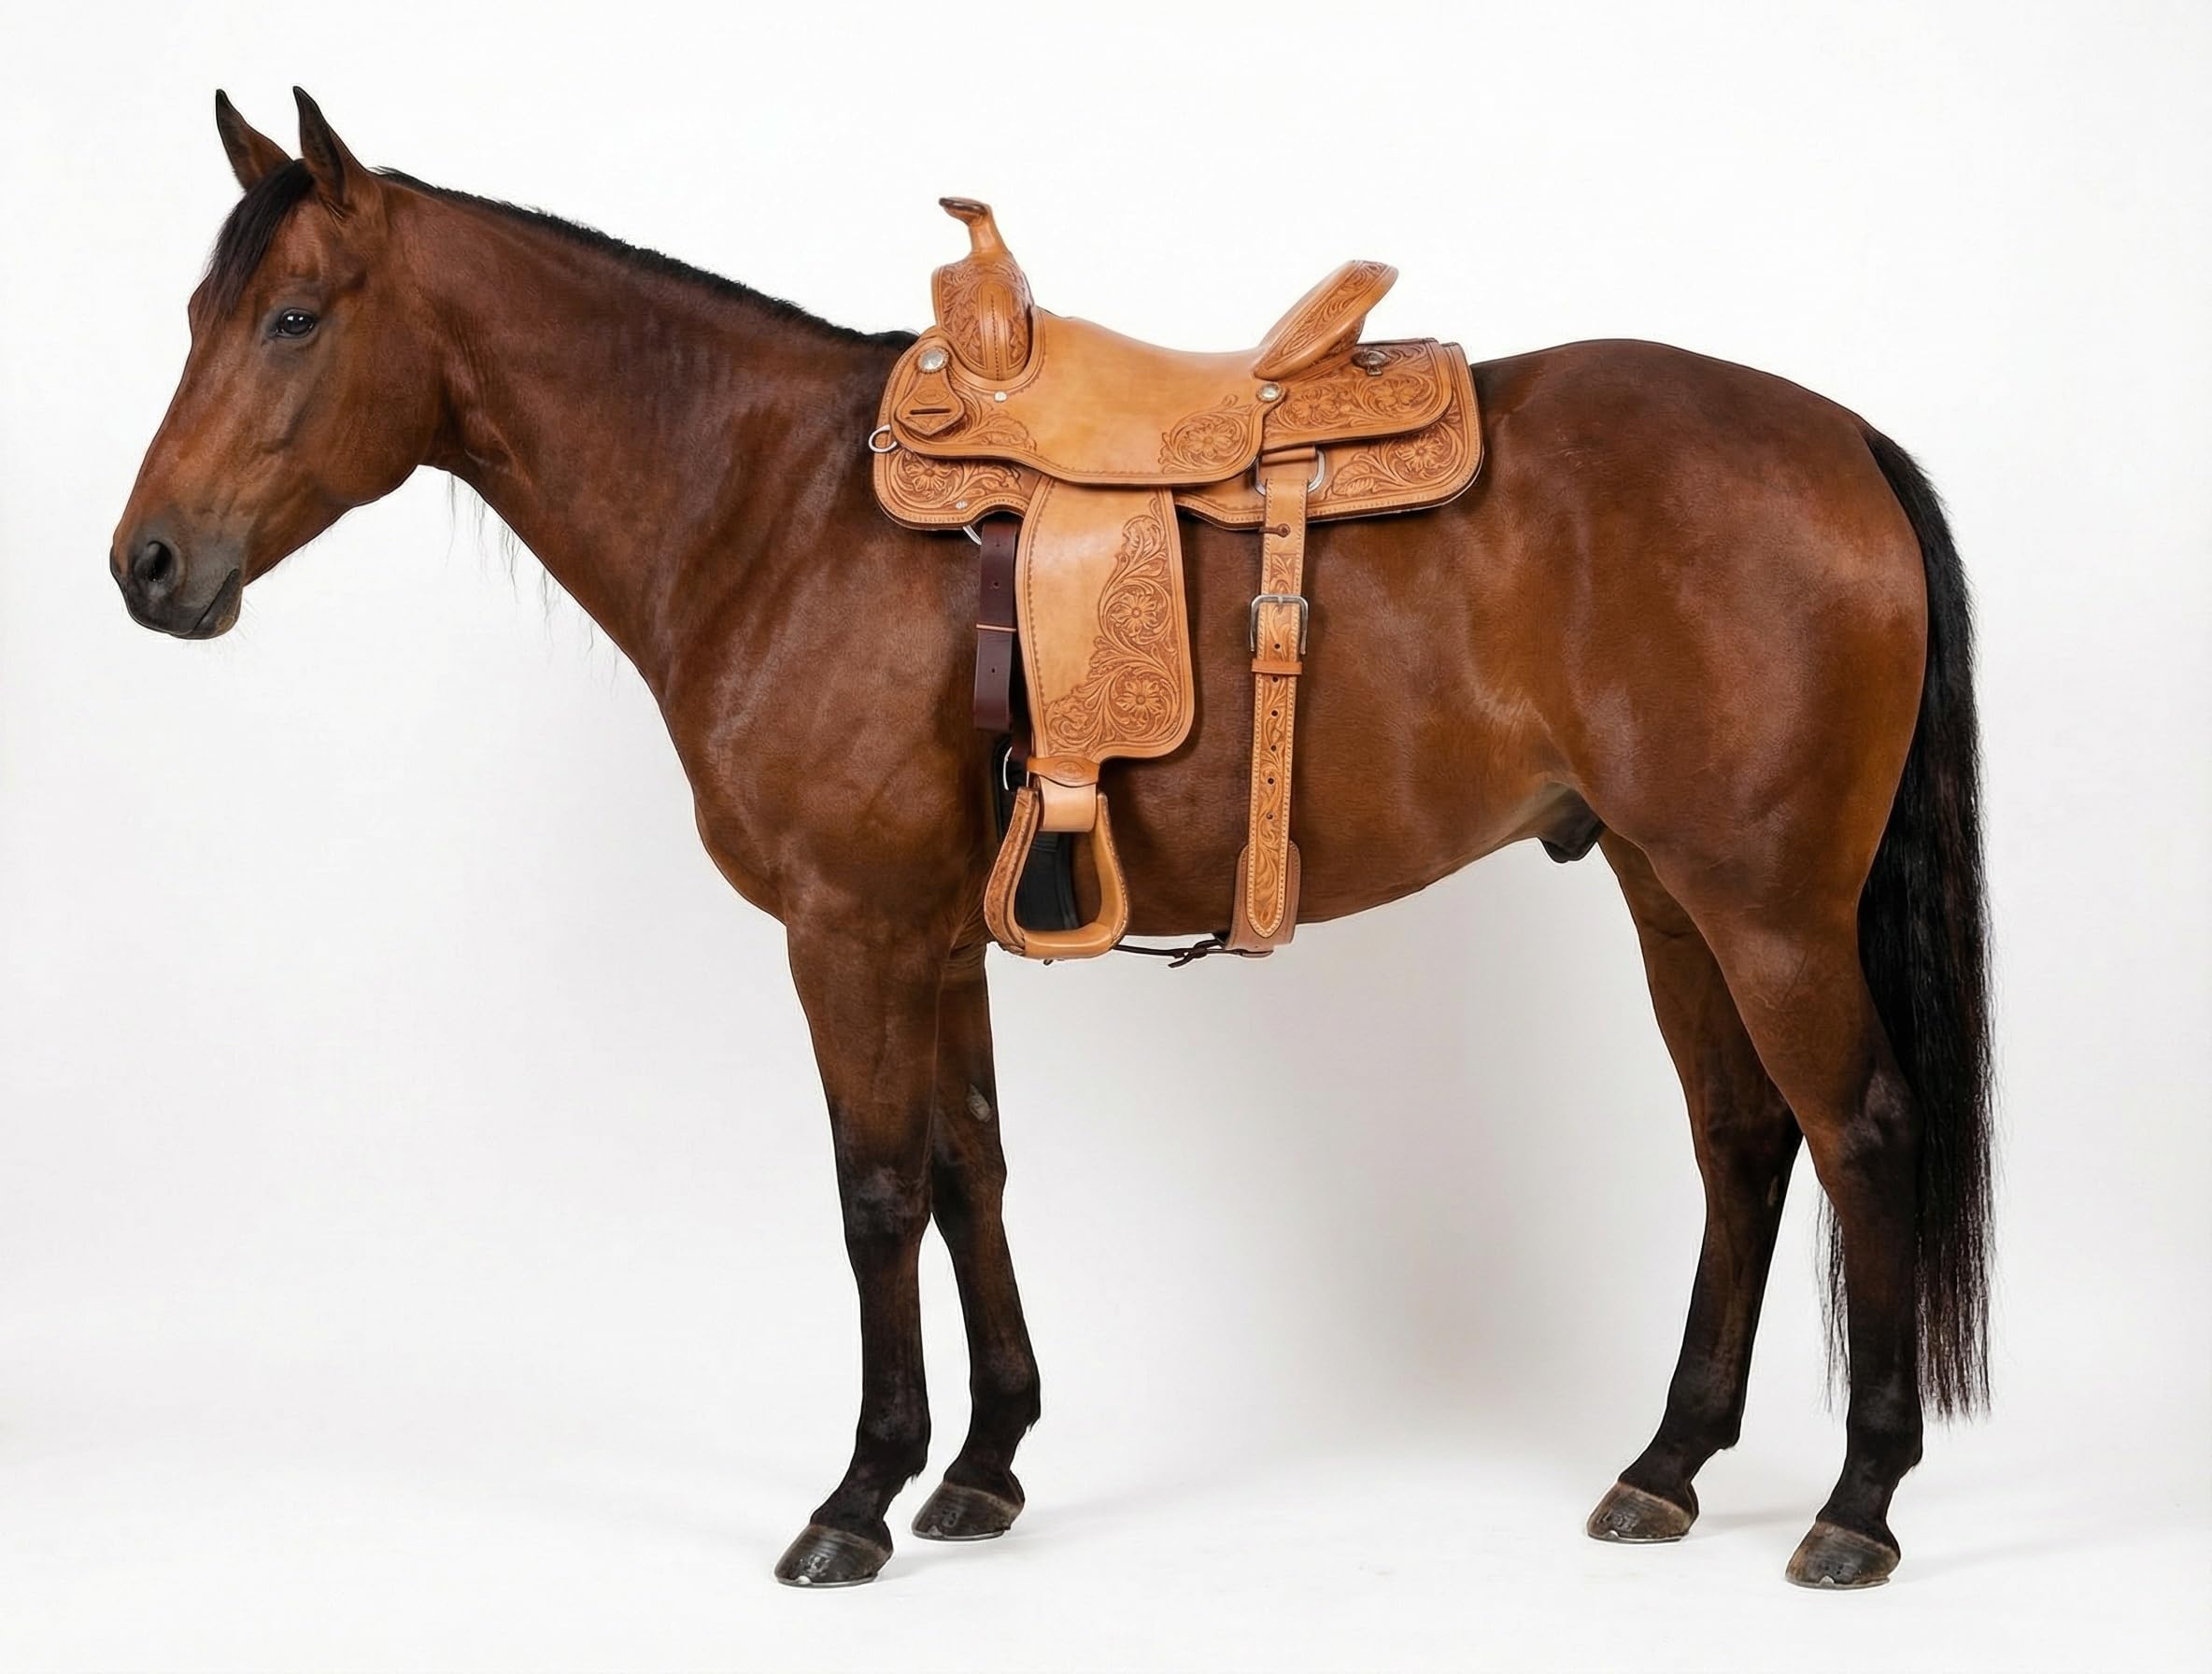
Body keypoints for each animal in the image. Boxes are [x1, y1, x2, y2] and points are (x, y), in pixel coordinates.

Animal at [111, 90, 1992, 1591]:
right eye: (201, 308)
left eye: (292, 316)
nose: (147, 565)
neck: (769, 508)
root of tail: (1839, 437)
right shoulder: (935, 932)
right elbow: (970, 1170)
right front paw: (985, 1463)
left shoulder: (847, 930)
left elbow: (875, 1193)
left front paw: (857, 1496)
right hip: (1670, 893)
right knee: (1743, 1143)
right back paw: (1665, 1466)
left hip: (1768, 908)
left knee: (1863, 1132)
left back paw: (1859, 1502)